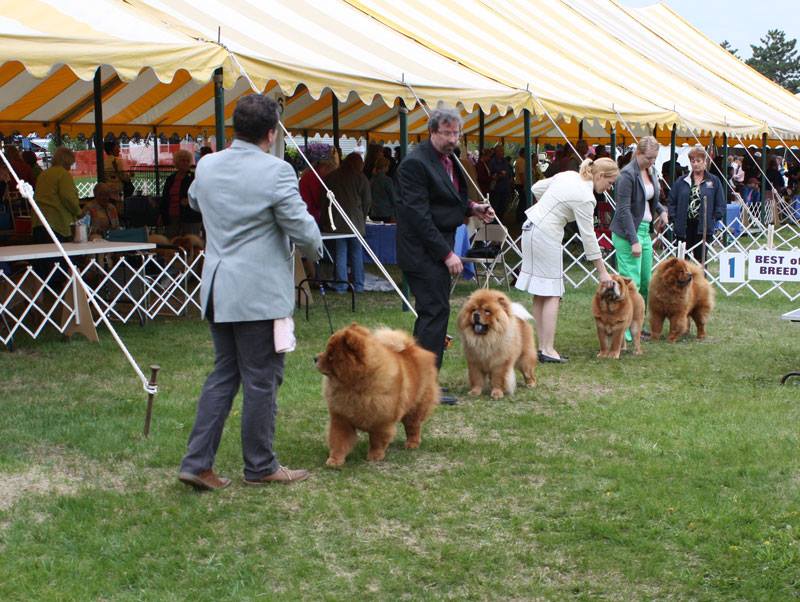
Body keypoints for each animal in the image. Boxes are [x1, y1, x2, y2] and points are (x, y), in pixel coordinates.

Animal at [314, 322, 438, 466]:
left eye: (331, 355)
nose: (315, 358)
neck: (354, 387)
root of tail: (412, 347)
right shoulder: (341, 419)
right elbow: (338, 441)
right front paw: (334, 460)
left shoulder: (381, 420)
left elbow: (377, 441)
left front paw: (375, 456)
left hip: (416, 407)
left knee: (413, 426)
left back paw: (412, 444)